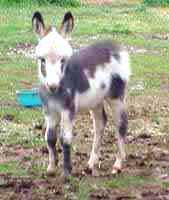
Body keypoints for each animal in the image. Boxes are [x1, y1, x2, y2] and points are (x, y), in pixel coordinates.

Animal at [32, 10, 131, 177]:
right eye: (42, 60)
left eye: (63, 60)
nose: (52, 86)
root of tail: (116, 45)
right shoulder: (49, 110)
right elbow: (50, 137)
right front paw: (51, 168)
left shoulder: (68, 109)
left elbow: (65, 139)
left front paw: (66, 172)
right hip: (96, 100)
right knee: (100, 124)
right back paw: (91, 164)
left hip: (116, 96)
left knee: (121, 125)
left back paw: (118, 165)